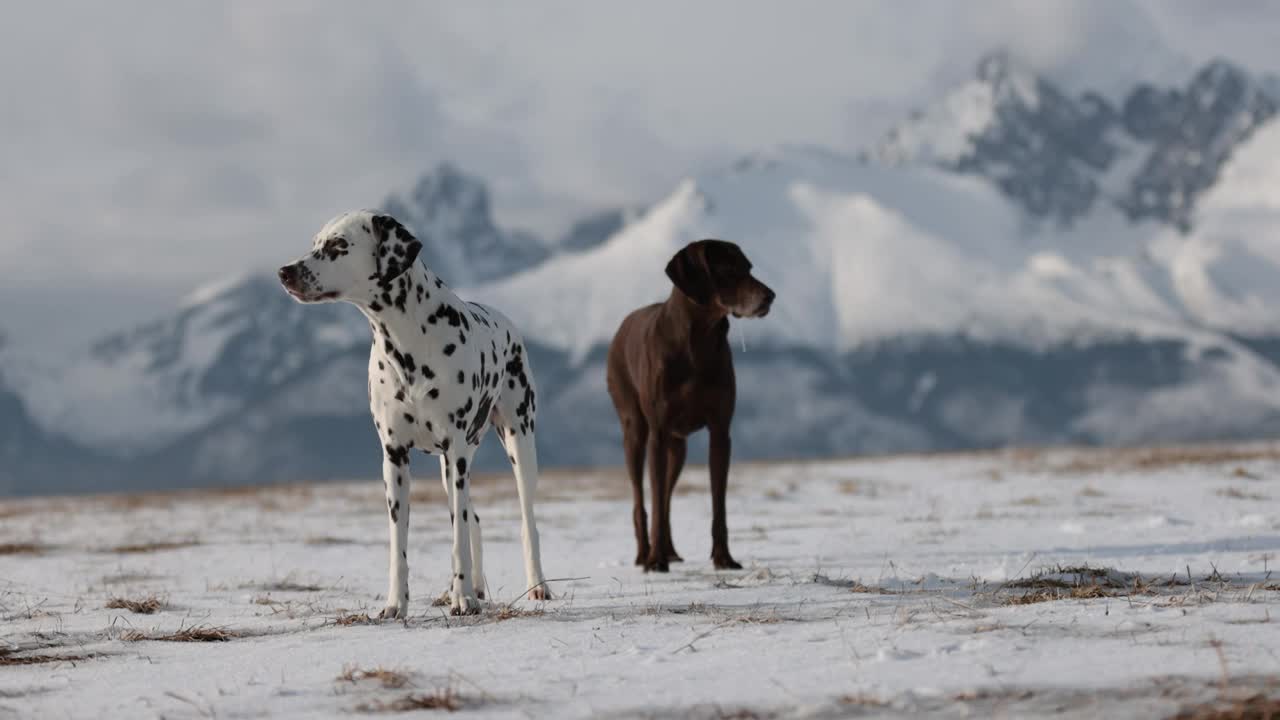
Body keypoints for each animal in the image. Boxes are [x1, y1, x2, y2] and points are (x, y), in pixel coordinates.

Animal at [280, 208, 550, 617]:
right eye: (315, 243)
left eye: (338, 245)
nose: (285, 271)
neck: (407, 344)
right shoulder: (395, 458)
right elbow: (400, 546)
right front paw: (397, 604)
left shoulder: (456, 453)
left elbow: (458, 539)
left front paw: (462, 599)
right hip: (449, 469)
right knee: (473, 519)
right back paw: (473, 587)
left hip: (518, 443)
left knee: (526, 520)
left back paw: (535, 586)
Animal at [606, 240, 773, 571]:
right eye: (728, 269)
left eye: (749, 268)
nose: (770, 296)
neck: (698, 342)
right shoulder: (657, 433)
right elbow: (655, 500)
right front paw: (655, 561)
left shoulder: (720, 432)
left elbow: (718, 503)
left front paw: (723, 558)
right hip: (635, 430)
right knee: (642, 499)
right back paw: (646, 553)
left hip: (678, 446)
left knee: (666, 498)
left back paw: (669, 550)